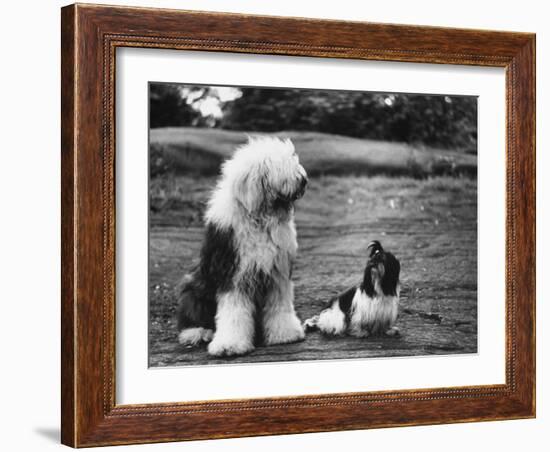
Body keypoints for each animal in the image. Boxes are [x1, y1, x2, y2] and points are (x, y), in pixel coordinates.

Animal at [176, 136, 308, 354]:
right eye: (281, 165)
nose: (304, 180)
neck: (260, 218)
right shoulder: (233, 274)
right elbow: (233, 312)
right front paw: (229, 345)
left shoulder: (277, 274)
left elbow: (280, 306)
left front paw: (285, 334)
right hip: (194, 286)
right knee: (193, 313)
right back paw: (197, 333)